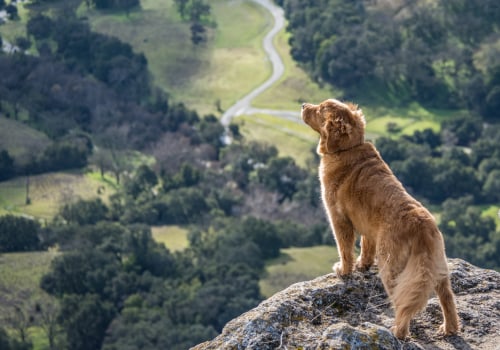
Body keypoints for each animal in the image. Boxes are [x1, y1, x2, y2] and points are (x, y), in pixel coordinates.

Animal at [300, 98, 460, 340]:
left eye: (319, 109)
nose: (302, 105)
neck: (348, 148)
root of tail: (421, 226)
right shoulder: (368, 227)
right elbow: (366, 247)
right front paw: (363, 265)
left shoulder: (339, 219)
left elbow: (345, 249)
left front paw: (344, 270)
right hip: (437, 267)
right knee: (447, 298)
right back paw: (449, 328)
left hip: (391, 266)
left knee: (404, 303)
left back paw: (398, 331)